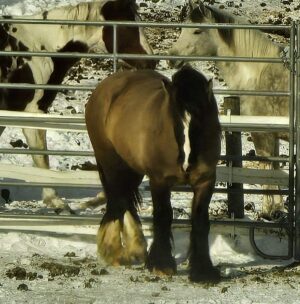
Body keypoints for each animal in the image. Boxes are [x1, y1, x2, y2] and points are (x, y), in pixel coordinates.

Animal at [1, 0, 157, 209]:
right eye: (126, 26)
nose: (151, 61)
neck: (38, 49)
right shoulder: (32, 111)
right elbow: (42, 158)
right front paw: (56, 202)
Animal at [85, 66, 221, 282]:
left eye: (200, 119)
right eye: (173, 120)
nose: (186, 163)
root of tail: (104, 87)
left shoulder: (205, 181)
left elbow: (200, 221)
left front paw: (203, 271)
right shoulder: (159, 180)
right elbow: (163, 217)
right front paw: (161, 265)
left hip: (131, 168)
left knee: (125, 200)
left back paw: (135, 247)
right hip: (111, 163)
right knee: (117, 200)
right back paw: (114, 252)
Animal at [168, 0, 290, 218]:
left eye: (197, 31)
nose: (172, 58)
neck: (256, 73)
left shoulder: (263, 134)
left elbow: (267, 167)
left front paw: (269, 212)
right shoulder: (273, 135)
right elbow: (274, 168)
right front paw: (276, 209)